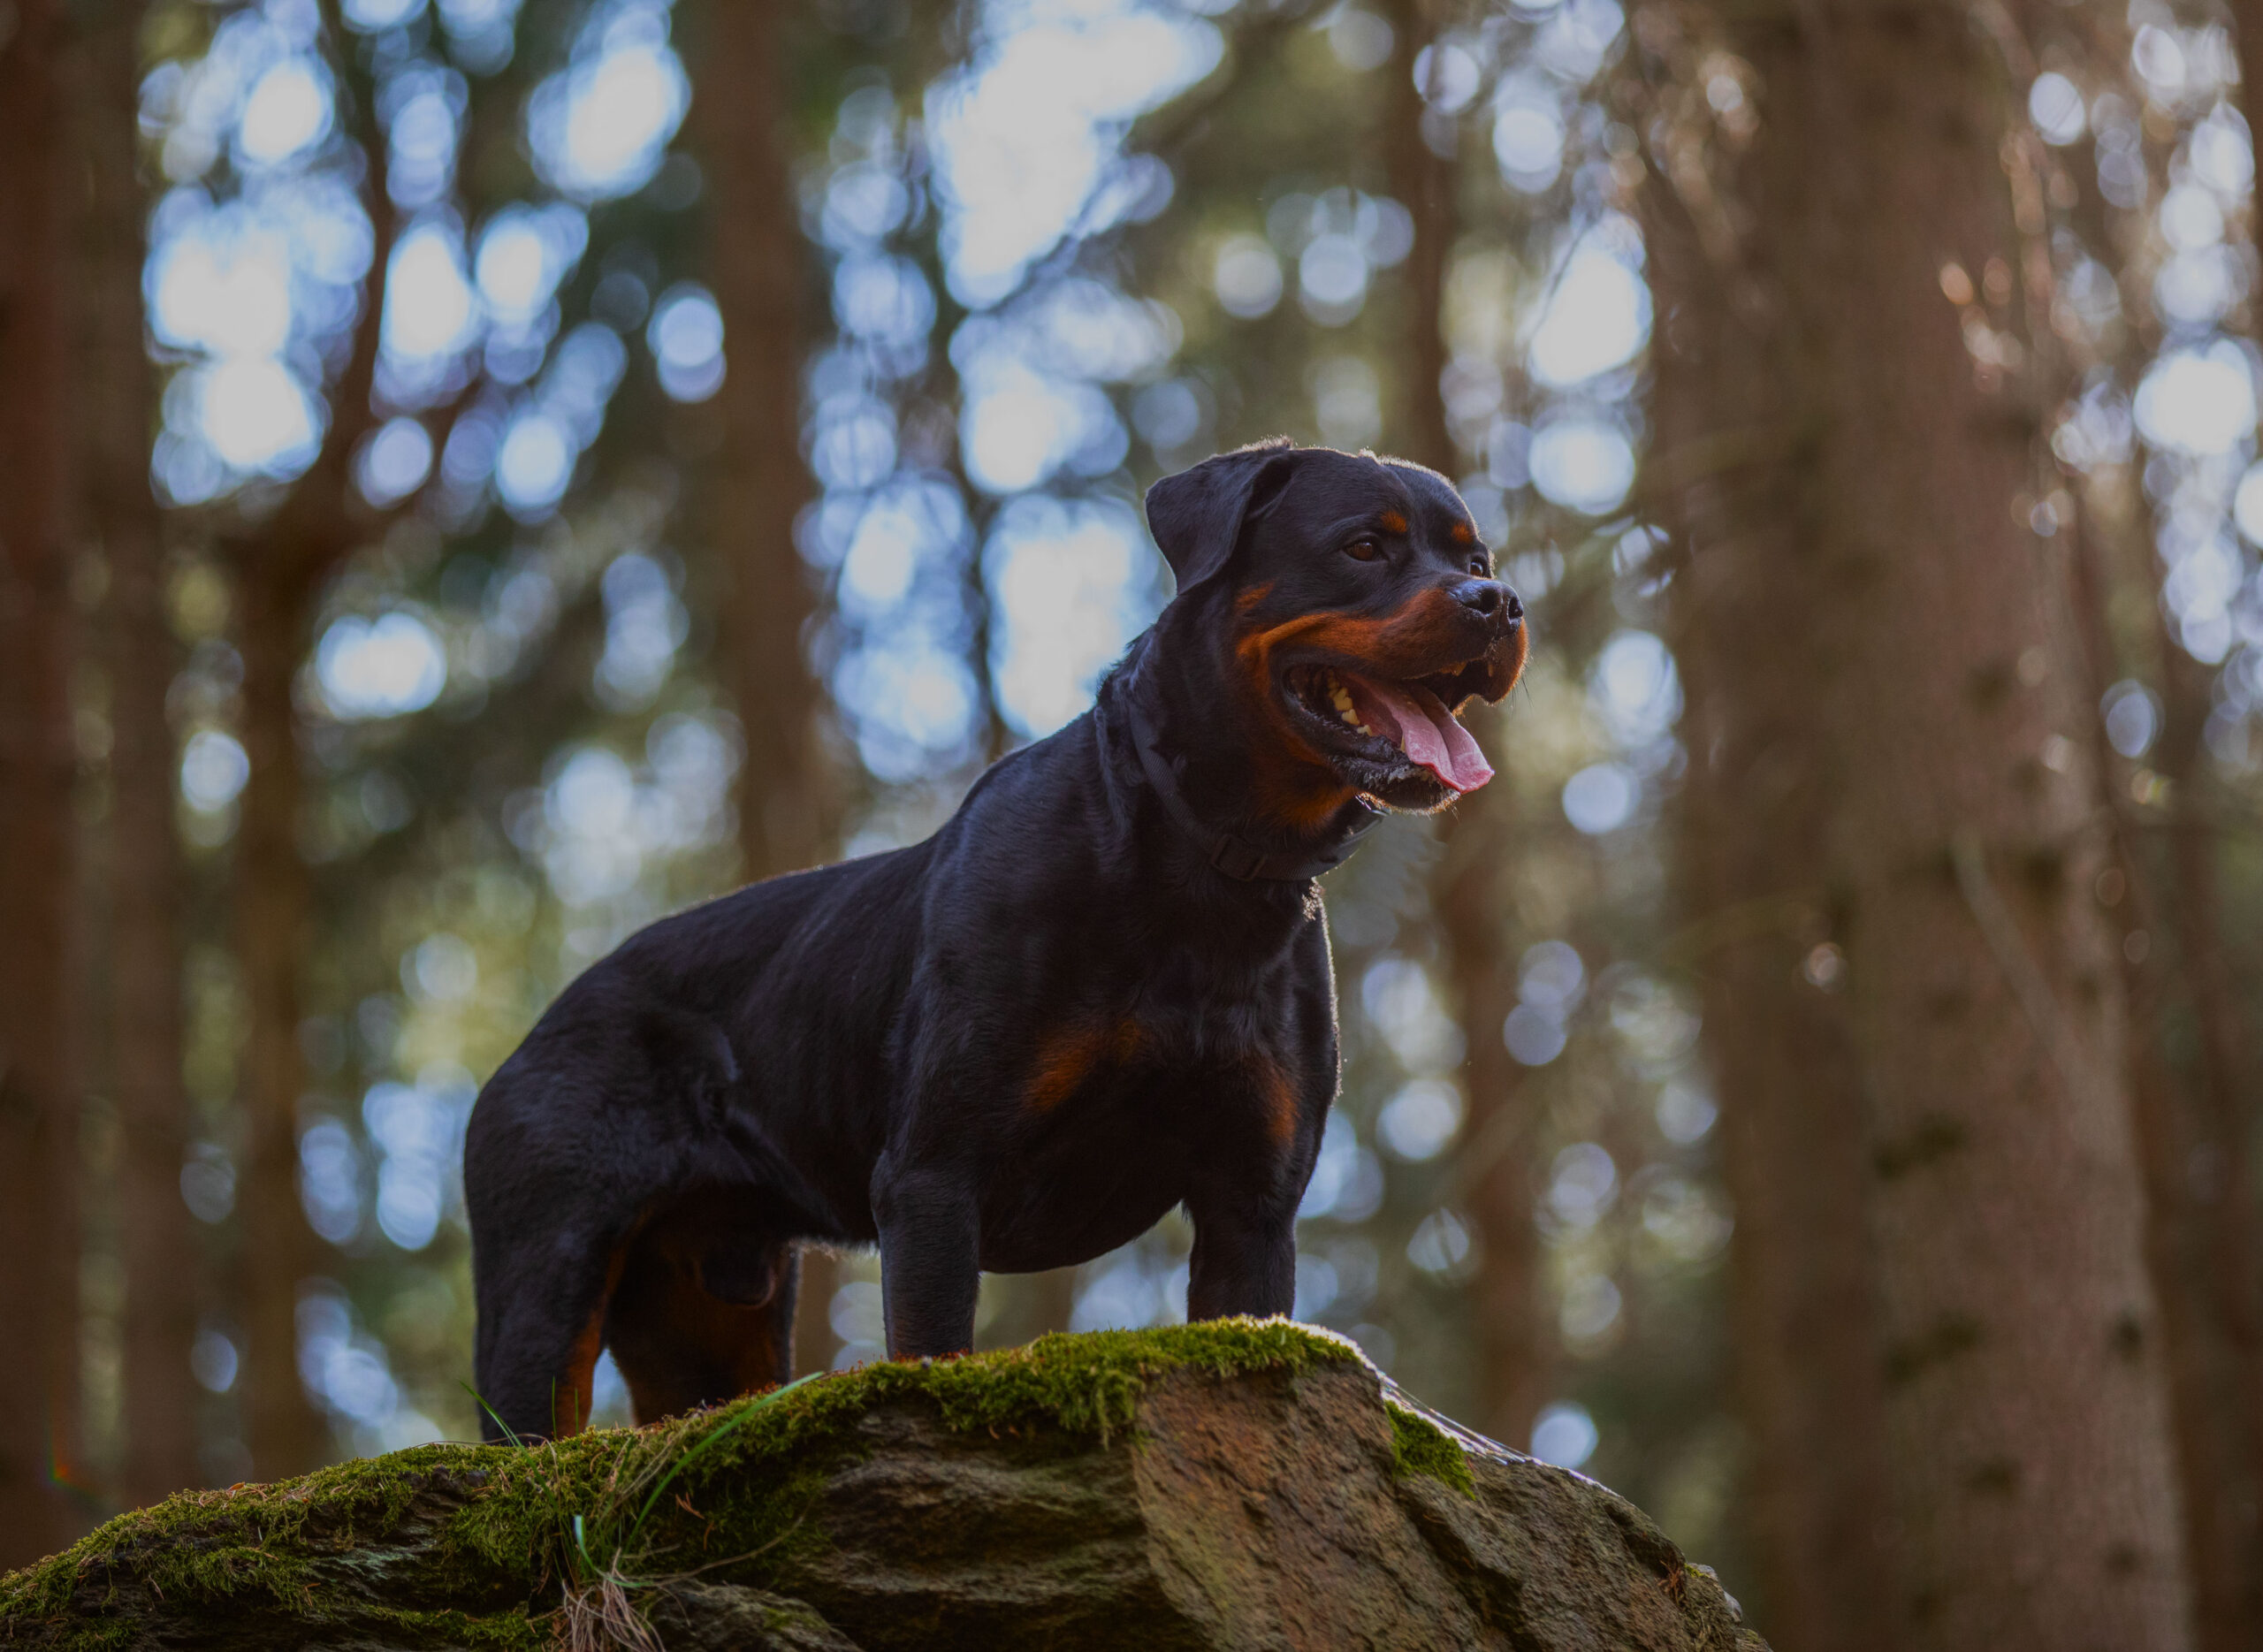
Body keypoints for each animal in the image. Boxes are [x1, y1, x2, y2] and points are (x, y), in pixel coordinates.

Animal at [463, 443, 1520, 1439]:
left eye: (1476, 559)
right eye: (1364, 547)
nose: (1500, 601)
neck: (1197, 862)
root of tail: (536, 1031)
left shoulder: (1252, 1205)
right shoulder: (934, 1176)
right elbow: (934, 1341)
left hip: (712, 1317)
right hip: (547, 1276)